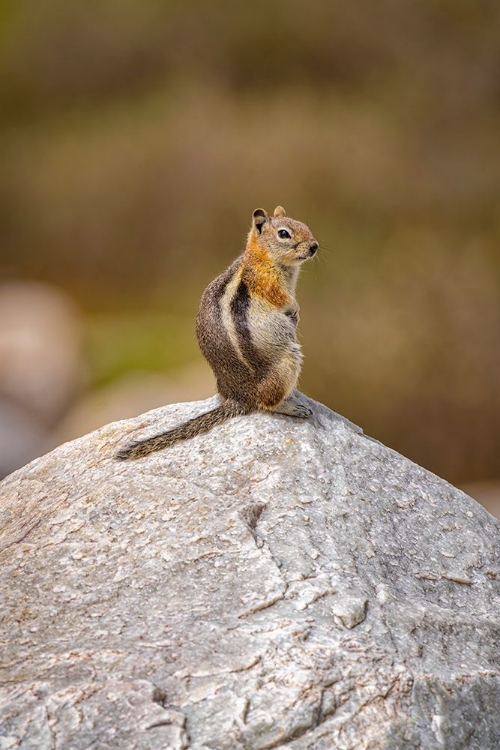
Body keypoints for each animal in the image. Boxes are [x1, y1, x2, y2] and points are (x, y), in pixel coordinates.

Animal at [118, 207, 316, 464]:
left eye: (304, 224)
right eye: (284, 233)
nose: (314, 246)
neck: (261, 258)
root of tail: (239, 398)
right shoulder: (268, 284)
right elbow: (283, 300)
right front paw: (294, 310)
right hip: (286, 363)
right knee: (267, 404)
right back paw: (292, 408)